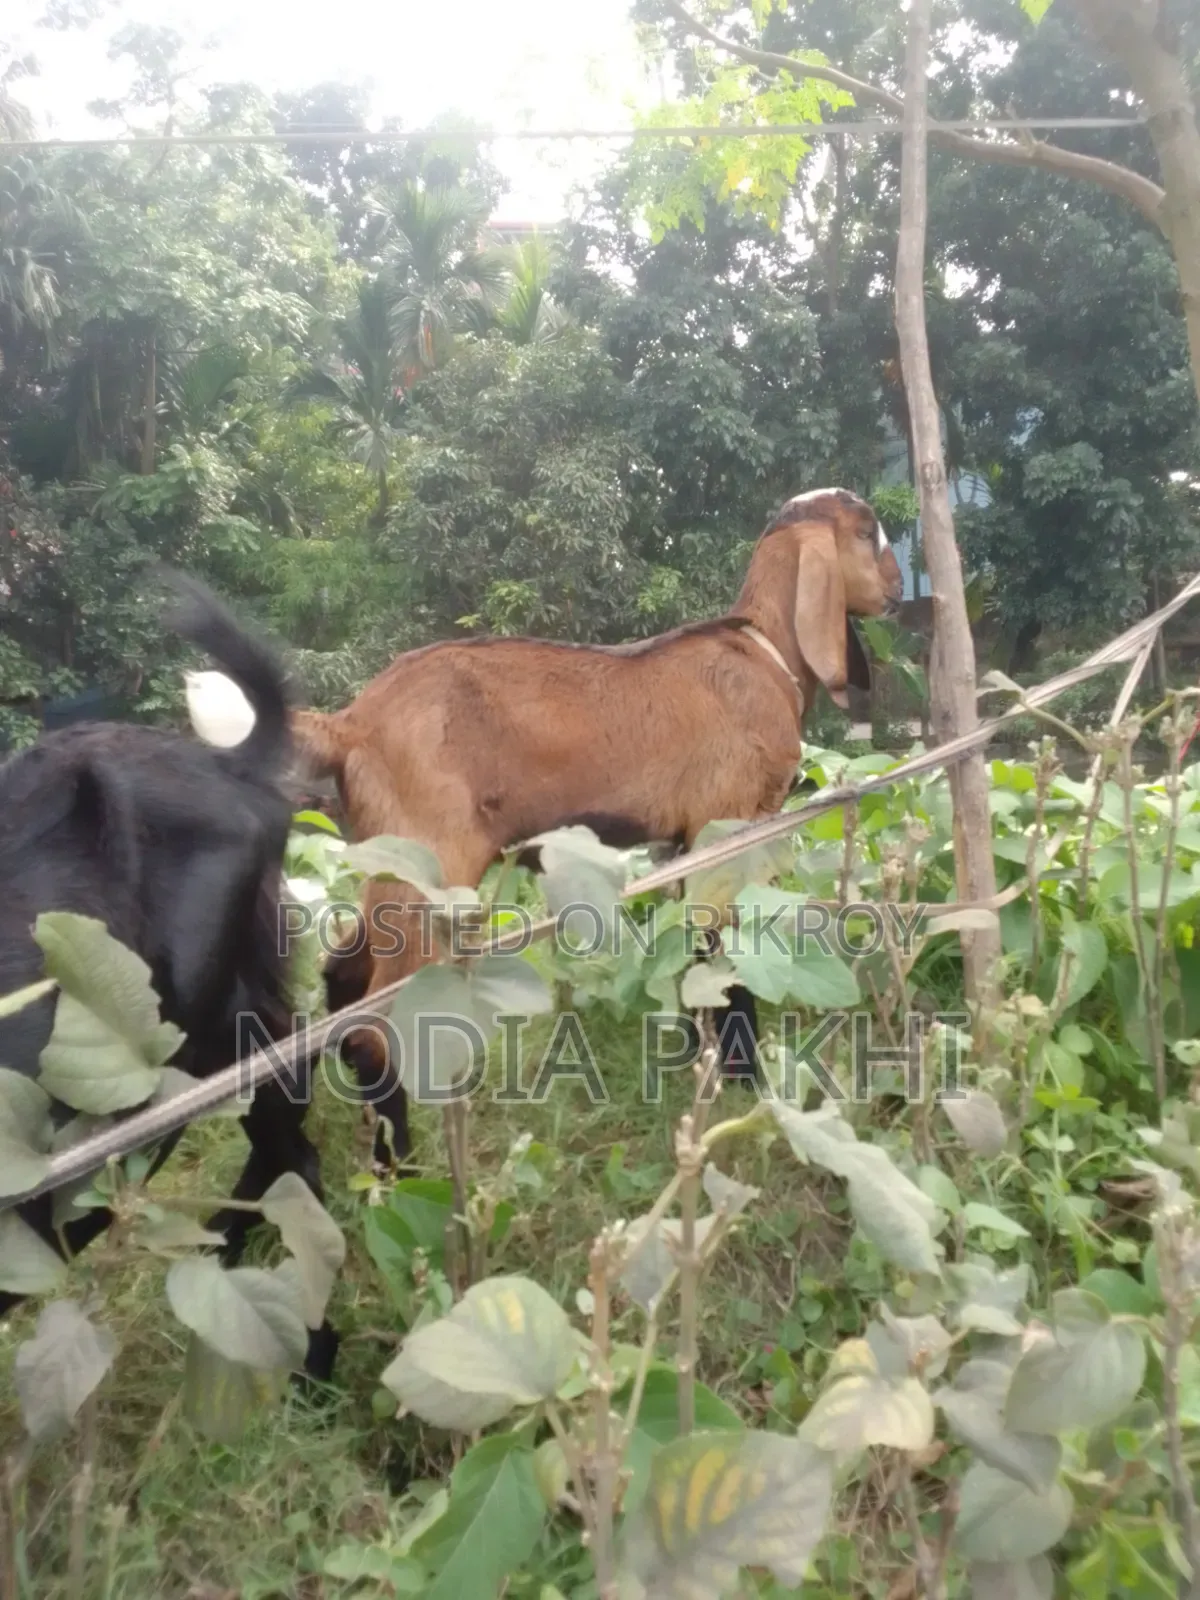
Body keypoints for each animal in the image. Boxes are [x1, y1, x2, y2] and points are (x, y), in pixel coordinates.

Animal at [291, 488, 903, 1164]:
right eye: (867, 530)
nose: (900, 588)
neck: (760, 652)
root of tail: (349, 724)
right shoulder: (728, 823)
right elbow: (727, 956)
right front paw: (745, 1083)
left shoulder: (680, 842)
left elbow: (688, 952)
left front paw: (691, 1060)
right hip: (432, 865)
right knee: (374, 1027)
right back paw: (397, 1166)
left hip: (393, 861)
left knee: (341, 977)